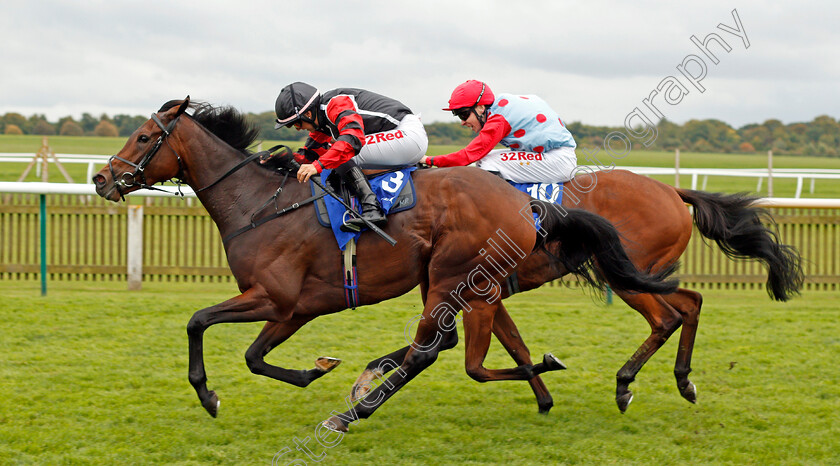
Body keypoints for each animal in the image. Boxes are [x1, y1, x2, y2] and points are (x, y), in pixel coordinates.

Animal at [90, 98, 676, 430]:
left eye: (145, 136)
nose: (100, 178)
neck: (259, 204)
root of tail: (525, 204)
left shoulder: (271, 297)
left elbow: (197, 322)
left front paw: (208, 396)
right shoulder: (295, 308)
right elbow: (256, 357)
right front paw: (316, 368)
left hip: (451, 276)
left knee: (430, 350)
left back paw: (353, 412)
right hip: (458, 283)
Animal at [348, 166, 800, 416]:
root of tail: (672, 190)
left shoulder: (467, 292)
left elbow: (448, 345)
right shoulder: (483, 295)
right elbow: (514, 345)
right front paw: (544, 399)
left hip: (625, 273)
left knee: (666, 317)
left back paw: (624, 384)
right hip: (644, 273)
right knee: (691, 302)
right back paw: (683, 380)